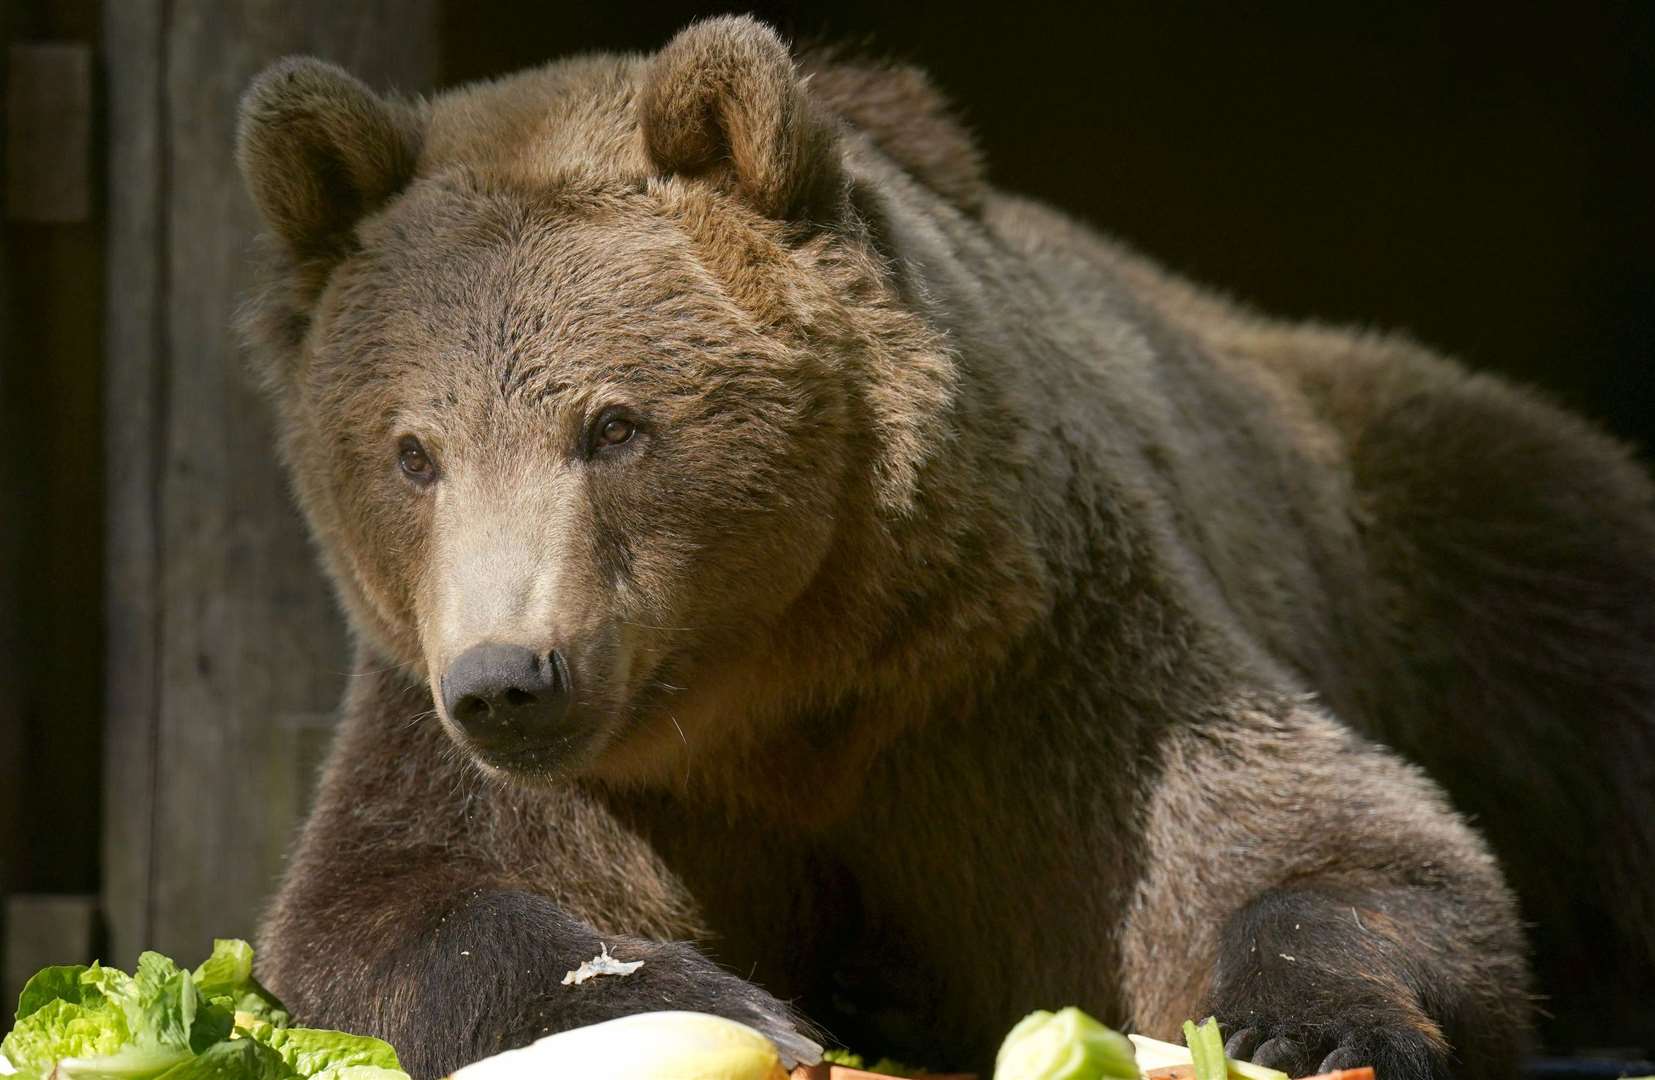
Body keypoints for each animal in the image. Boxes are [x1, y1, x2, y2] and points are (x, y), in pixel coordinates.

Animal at [236, 14, 1655, 1078]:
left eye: (613, 424)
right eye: (412, 452)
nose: (509, 680)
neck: (773, 684)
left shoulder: (1027, 666)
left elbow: (1318, 838)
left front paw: (1297, 1027)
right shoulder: (524, 737)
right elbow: (403, 903)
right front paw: (727, 1011)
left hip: (1436, 522)